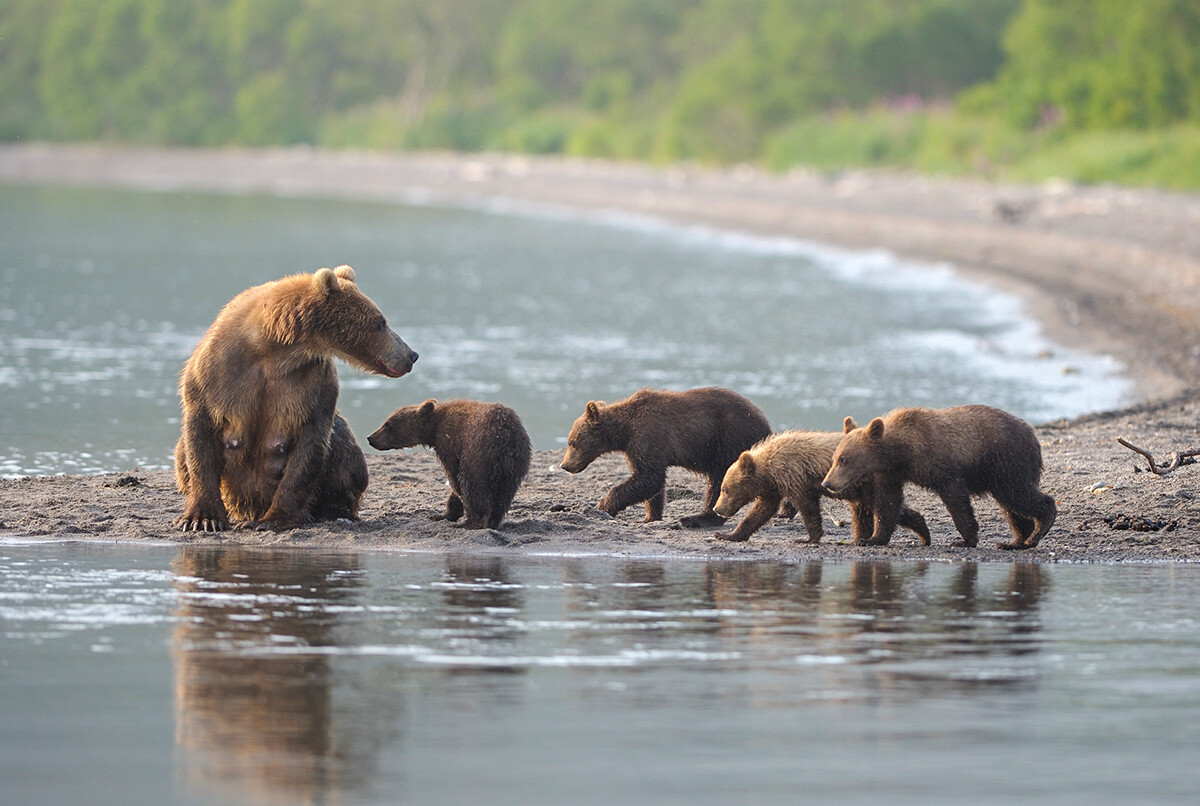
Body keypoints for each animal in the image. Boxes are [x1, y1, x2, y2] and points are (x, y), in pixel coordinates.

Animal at [174, 263, 417, 527]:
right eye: (380, 322)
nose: (411, 354)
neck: (274, 348)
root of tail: (248, 506)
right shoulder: (216, 373)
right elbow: (200, 440)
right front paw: (203, 518)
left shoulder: (313, 383)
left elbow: (309, 444)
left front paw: (274, 519)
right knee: (181, 451)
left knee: (343, 447)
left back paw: (333, 511)